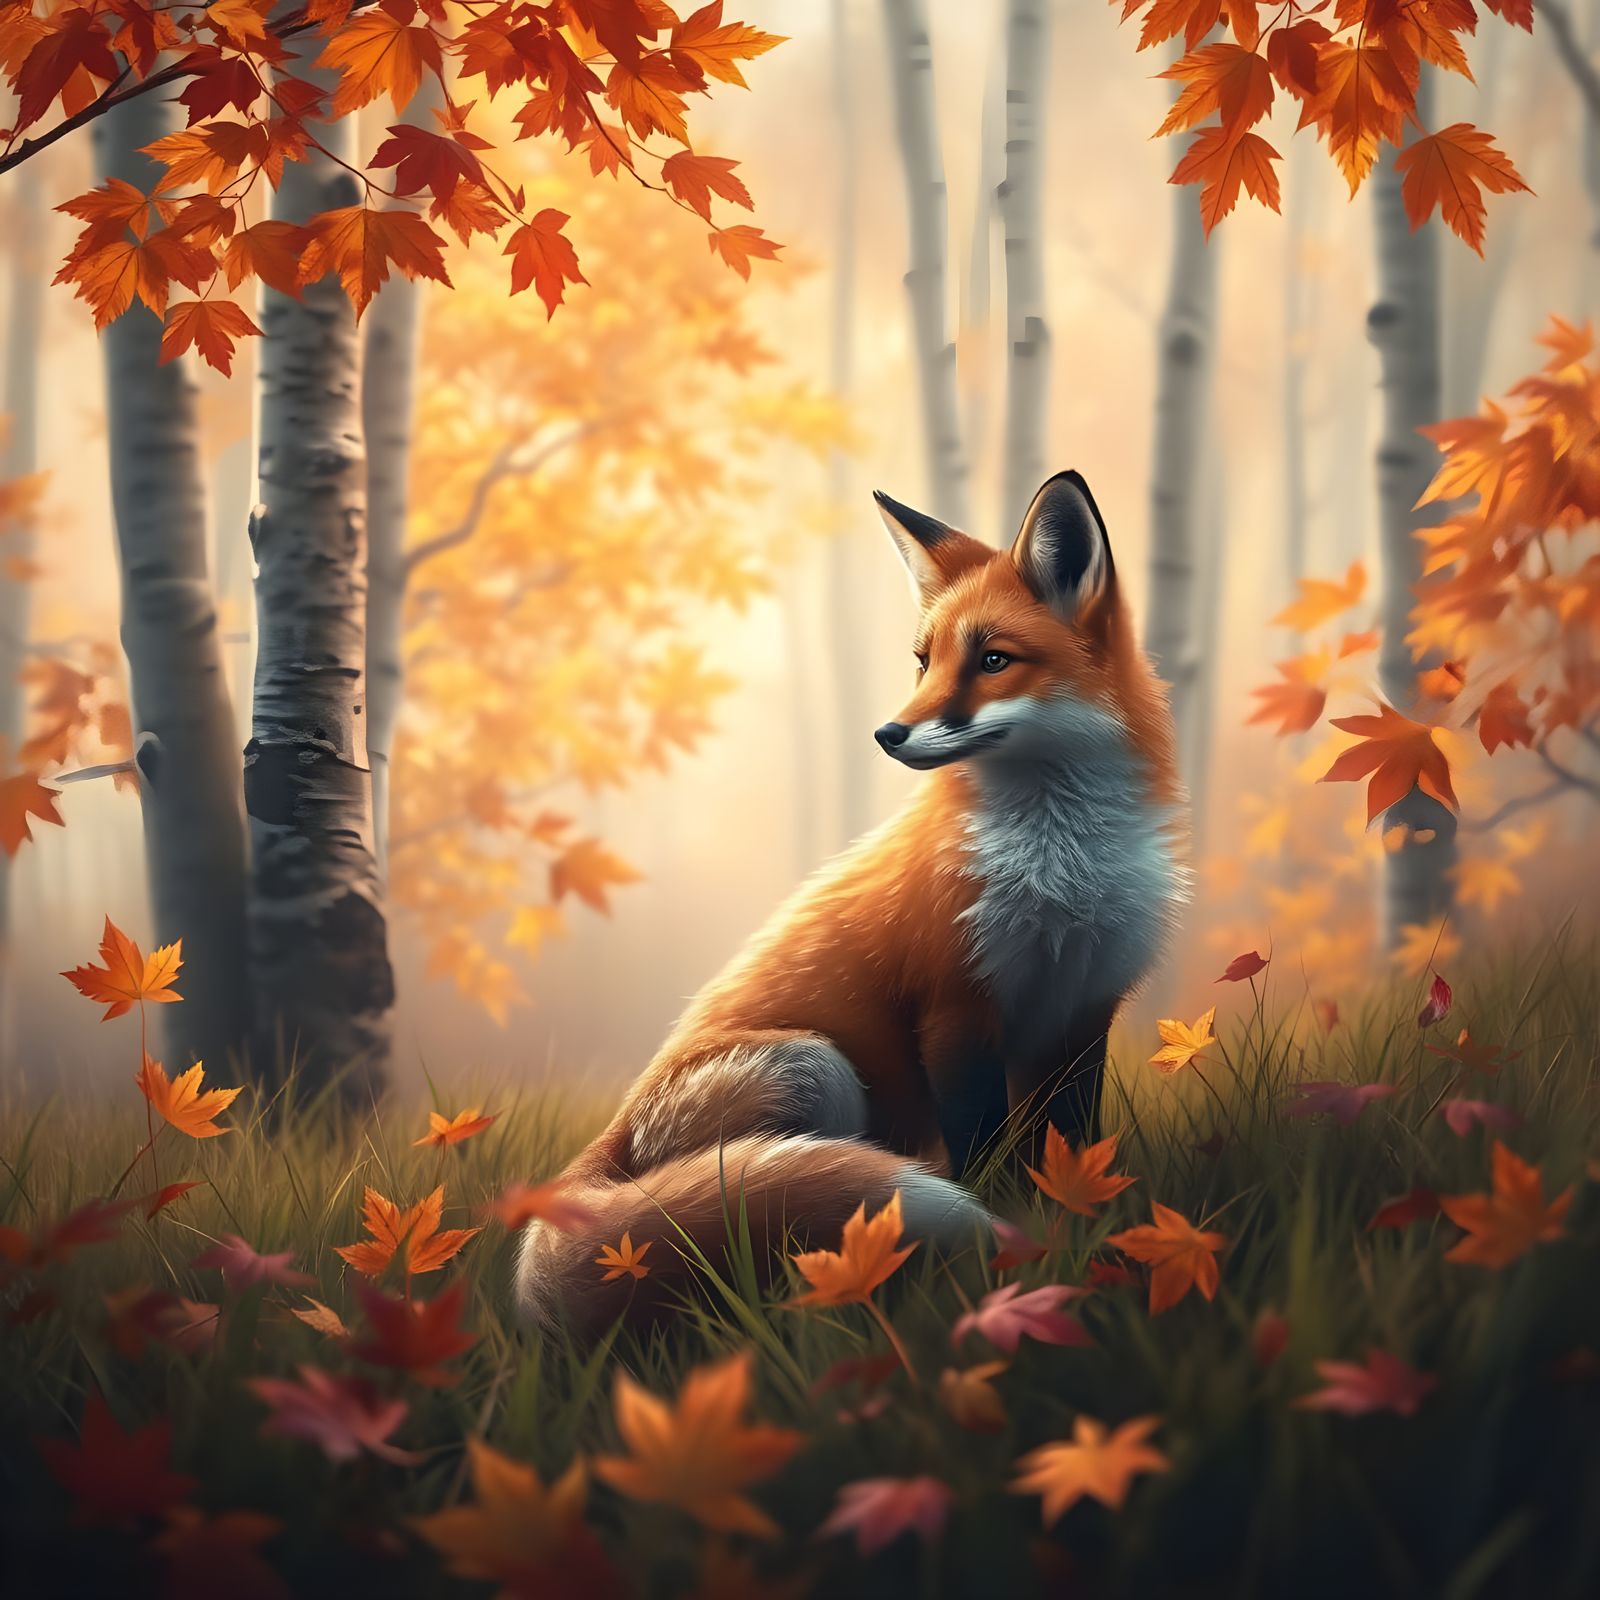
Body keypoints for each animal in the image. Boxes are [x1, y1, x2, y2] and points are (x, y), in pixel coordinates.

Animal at [516, 471, 1188, 1332]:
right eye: (923, 661)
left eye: (993, 660)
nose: (888, 734)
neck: (1060, 868)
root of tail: (608, 1135)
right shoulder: (954, 1008)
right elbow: (984, 1153)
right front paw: (1008, 1245)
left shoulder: (1080, 1010)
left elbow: (1069, 1143)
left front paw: (1078, 1220)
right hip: (813, 1066)